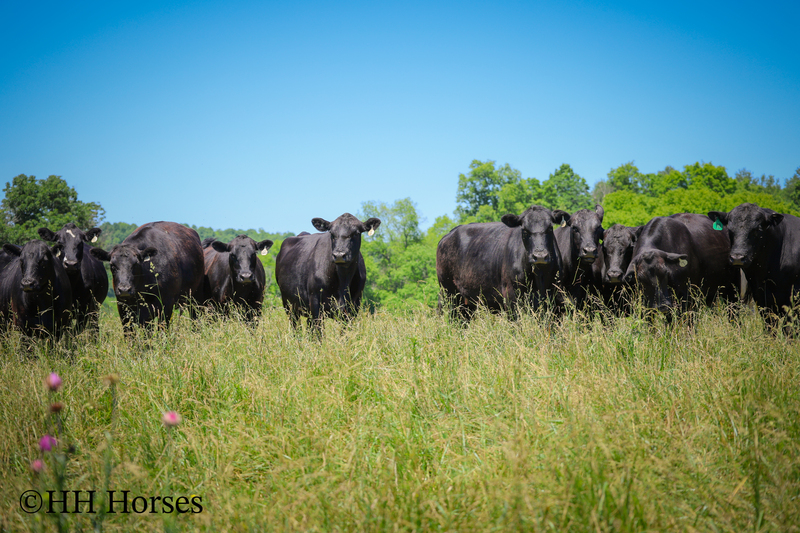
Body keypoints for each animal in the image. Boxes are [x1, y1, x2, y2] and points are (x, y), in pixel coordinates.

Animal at [436, 205, 570, 320]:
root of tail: (448, 235)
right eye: (524, 230)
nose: (540, 256)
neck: (539, 276)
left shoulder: (554, 298)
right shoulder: (511, 296)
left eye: (550, 228)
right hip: (449, 293)